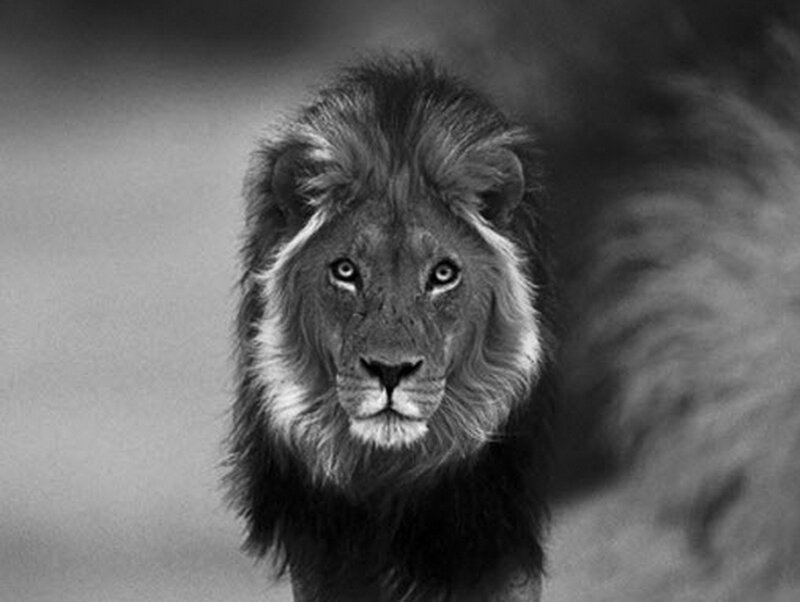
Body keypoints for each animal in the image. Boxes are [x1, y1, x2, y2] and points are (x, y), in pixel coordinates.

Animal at [227, 58, 556, 601]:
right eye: (345, 271)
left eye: (443, 274)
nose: (389, 371)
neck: (388, 482)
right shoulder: (321, 561)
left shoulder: (499, 552)